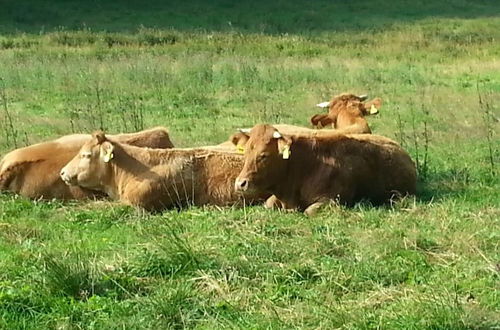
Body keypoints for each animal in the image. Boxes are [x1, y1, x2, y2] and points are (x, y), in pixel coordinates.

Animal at [234, 124, 418, 217]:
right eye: (246, 152)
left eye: (263, 155)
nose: (240, 183)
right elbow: (268, 204)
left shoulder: (332, 200)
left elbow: (309, 211)